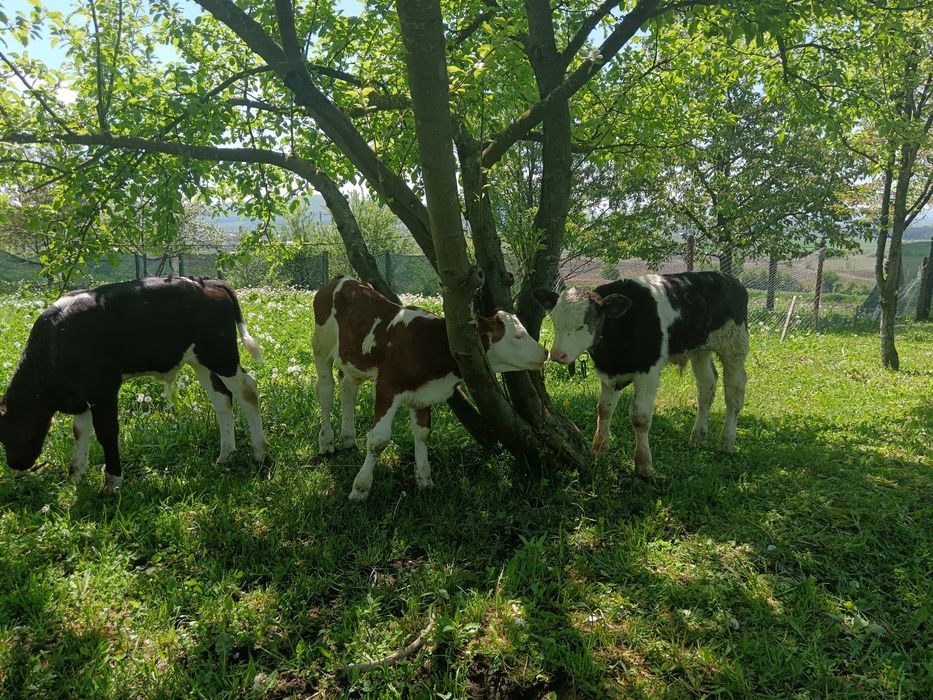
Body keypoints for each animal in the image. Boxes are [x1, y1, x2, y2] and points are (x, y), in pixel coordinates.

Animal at [0, 276, 269, 492]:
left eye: (7, 432)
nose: (14, 463)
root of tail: (209, 282)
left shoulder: (103, 389)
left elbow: (106, 433)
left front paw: (112, 482)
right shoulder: (82, 394)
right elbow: (80, 431)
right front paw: (75, 476)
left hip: (221, 355)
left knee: (247, 389)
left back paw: (260, 454)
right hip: (200, 361)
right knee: (222, 400)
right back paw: (226, 454)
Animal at [313, 276, 548, 500]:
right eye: (518, 336)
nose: (545, 352)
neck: (430, 345)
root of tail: (342, 278)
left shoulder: (422, 394)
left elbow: (423, 434)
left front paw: (425, 480)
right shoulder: (387, 387)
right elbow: (379, 439)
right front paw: (360, 487)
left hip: (353, 359)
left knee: (347, 388)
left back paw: (348, 438)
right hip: (321, 347)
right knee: (325, 390)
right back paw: (326, 441)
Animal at [534, 271, 748, 478]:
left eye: (582, 324)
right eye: (555, 321)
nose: (557, 354)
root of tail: (730, 279)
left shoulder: (648, 372)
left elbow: (640, 417)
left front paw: (644, 465)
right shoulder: (609, 372)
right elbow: (604, 409)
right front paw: (599, 449)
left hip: (734, 347)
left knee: (733, 394)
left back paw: (727, 442)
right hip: (700, 351)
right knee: (707, 388)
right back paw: (697, 437)